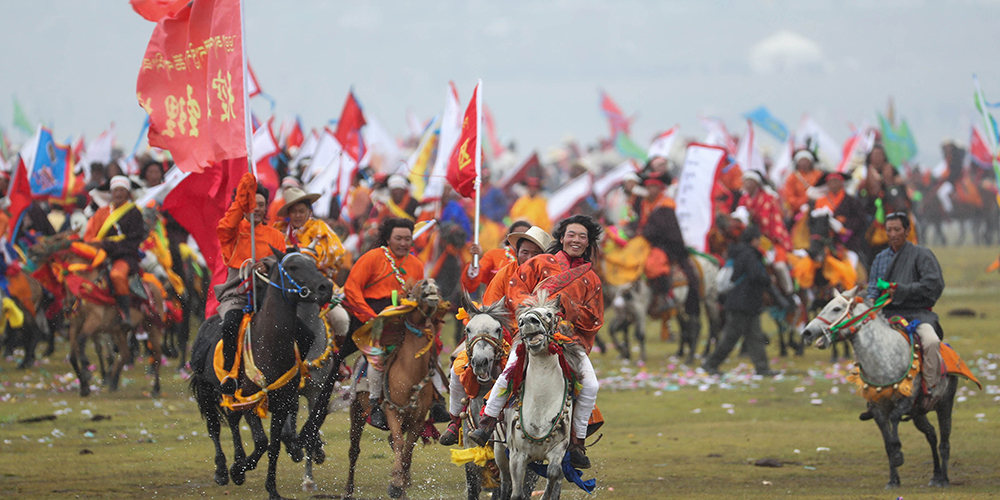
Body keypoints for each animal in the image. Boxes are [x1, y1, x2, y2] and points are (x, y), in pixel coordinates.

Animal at [189, 246, 338, 500]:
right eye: (292, 267)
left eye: (314, 263)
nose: (325, 288)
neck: (270, 345)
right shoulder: (251, 401)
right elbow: (261, 442)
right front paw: (238, 470)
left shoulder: (282, 404)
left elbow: (274, 446)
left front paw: (272, 489)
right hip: (207, 390)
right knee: (214, 427)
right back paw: (222, 470)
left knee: (232, 421)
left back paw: (238, 459)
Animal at [346, 280, 452, 498]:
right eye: (412, 293)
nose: (430, 283)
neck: (410, 374)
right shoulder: (393, 411)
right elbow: (399, 443)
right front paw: (395, 484)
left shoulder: (417, 420)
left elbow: (407, 453)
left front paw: (401, 486)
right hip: (357, 411)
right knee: (354, 450)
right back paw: (348, 490)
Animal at [492, 292, 580, 500]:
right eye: (520, 319)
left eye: (549, 314)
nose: (528, 322)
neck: (541, 405)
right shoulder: (516, 456)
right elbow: (516, 493)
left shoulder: (559, 450)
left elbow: (554, 473)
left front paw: (546, 495)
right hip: (499, 450)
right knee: (504, 480)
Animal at [796, 288, 960, 490]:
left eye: (836, 308)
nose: (807, 333)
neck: (883, 358)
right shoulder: (878, 410)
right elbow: (887, 444)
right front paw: (893, 480)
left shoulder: (906, 400)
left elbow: (895, 419)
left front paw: (899, 455)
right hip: (918, 413)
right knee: (931, 434)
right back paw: (935, 475)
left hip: (945, 403)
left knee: (944, 441)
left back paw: (943, 479)